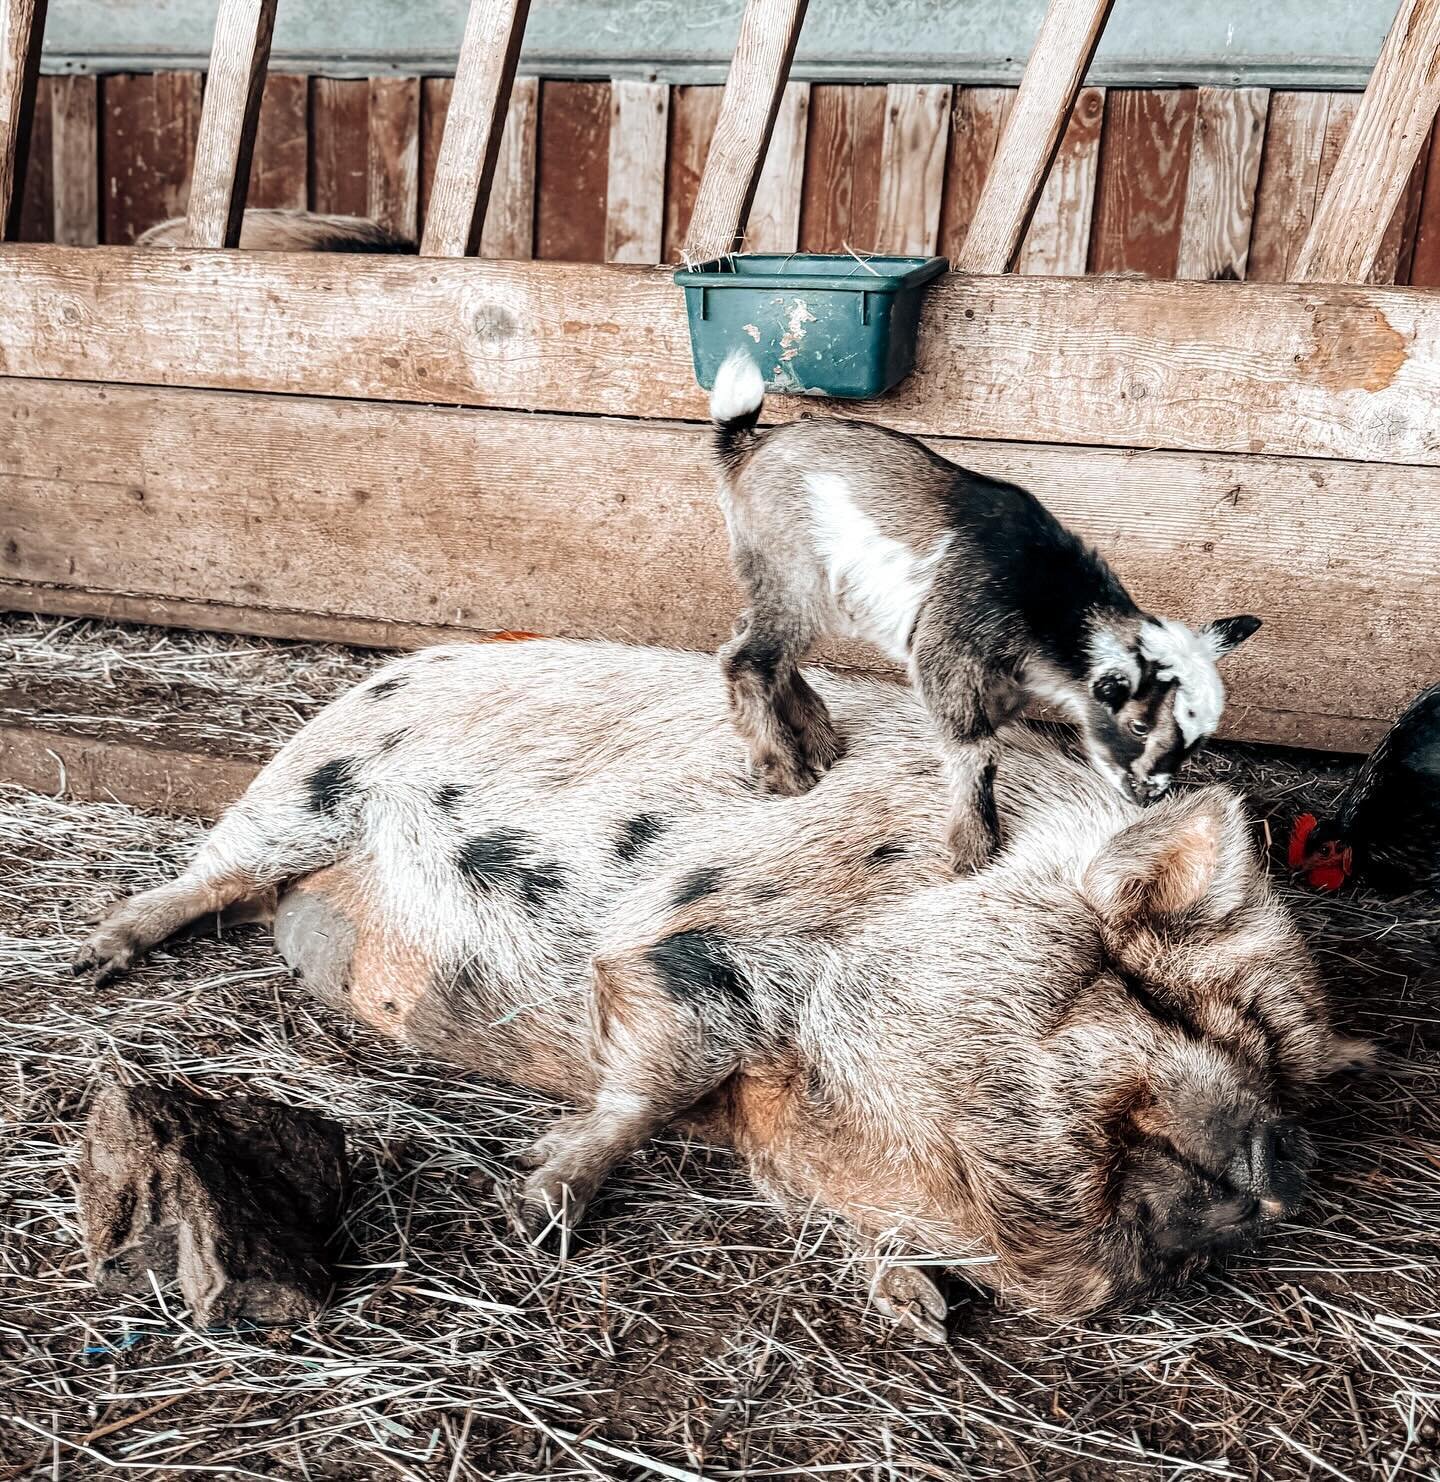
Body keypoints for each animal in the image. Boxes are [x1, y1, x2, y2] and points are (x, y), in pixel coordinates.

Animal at [72, 643, 1368, 1339]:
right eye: (1174, 1002)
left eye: (1282, 1067)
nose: (1294, 1163)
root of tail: (396, 665)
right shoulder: (708, 943)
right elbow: (657, 1062)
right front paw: (539, 1214)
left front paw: (923, 1311)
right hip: (303, 789)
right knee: (205, 874)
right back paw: (93, 958)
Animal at [714, 349, 1256, 865]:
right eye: (1139, 724)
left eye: (1199, 740)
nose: (1148, 794)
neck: (1042, 603)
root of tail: (745, 447)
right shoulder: (947, 657)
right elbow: (977, 753)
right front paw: (974, 849)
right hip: (792, 571)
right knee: (747, 658)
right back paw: (787, 769)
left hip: (791, 582)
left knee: (756, 640)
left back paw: (818, 741)